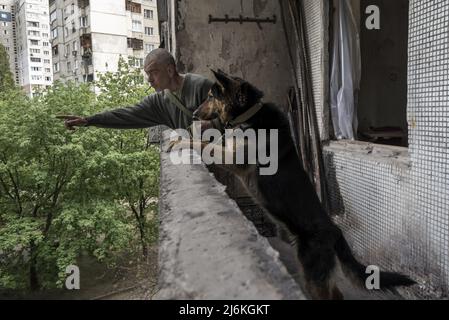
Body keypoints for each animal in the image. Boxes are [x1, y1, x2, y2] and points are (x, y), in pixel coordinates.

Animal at [169, 69, 416, 298]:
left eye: (211, 96)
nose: (194, 114)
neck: (248, 115)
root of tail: (335, 230)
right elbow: (207, 143)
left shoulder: (235, 160)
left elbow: (205, 145)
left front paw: (180, 141)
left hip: (312, 274)